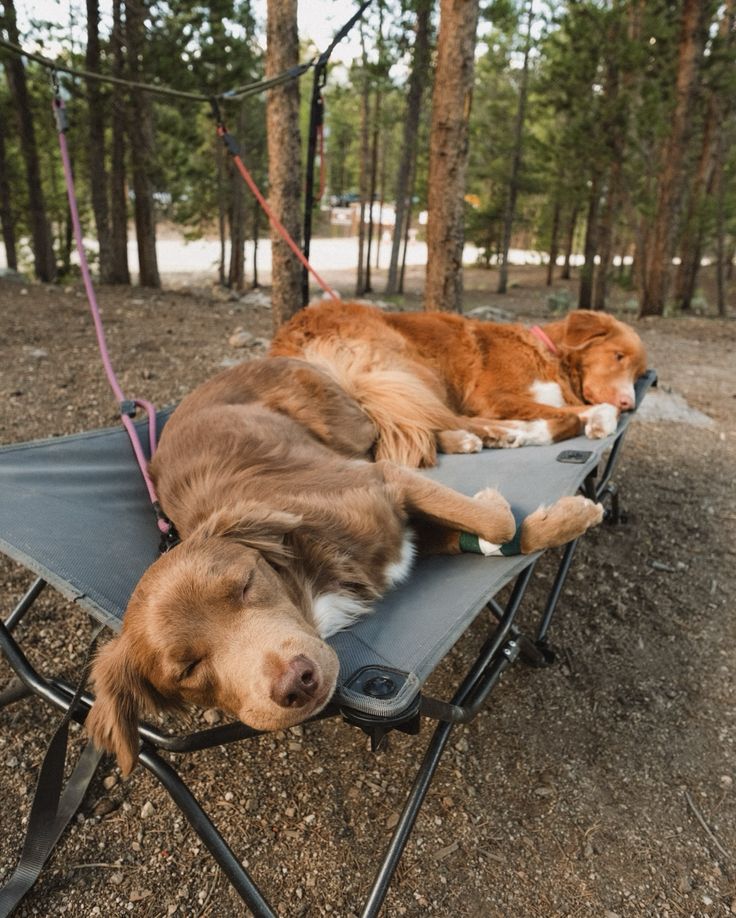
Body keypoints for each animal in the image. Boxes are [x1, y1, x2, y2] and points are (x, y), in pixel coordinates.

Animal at [86, 356, 604, 772]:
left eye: (246, 584)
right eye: (188, 670)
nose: (297, 683)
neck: (314, 580)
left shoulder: (385, 479)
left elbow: (495, 521)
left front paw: (558, 513)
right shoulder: (408, 529)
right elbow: (491, 531)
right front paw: (554, 518)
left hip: (352, 425)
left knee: (421, 415)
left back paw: (508, 432)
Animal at [268, 304, 644, 468]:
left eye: (639, 372)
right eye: (618, 356)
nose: (629, 403)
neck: (549, 353)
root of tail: (295, 333)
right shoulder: (492, 397)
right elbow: (568, 417)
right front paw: (540, 431)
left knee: (411, 426)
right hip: (413, 368)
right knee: (431, 420)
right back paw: (503, 433)